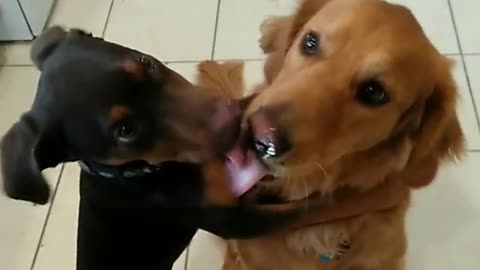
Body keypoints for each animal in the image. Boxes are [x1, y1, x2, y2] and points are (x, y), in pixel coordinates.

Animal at [0, 25, 312, 270]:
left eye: (145, 62)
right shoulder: (232, 220)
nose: (232, 119)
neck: (143, 173)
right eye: (125, 131)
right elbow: (307, 210)